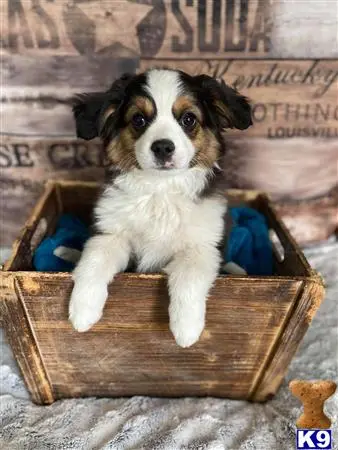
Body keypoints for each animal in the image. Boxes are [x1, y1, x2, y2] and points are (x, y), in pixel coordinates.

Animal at [68, 67, 251, 348]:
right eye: (139, 119)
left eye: (188, 119)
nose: (163, 147)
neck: (160, 191)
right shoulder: (111, 233)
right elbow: (94, 261)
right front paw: (82, 311)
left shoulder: (201, 246)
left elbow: (189, 278)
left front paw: (186, 330)